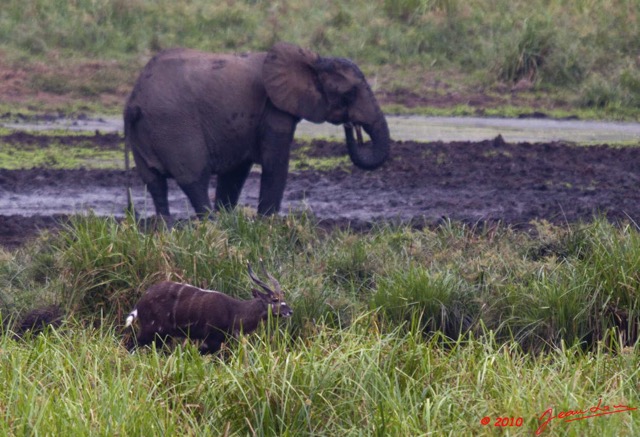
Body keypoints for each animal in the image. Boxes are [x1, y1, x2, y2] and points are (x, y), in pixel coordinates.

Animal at [122, 41, 388, 218]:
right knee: (195, 179)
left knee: (155, 184)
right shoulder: (274, 109)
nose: (351, 125)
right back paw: (211, 227)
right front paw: (267, 226)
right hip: (174, 127)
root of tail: (134, 100)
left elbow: (236, 173)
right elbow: (275, 163)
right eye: (349, 93)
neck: (313, 60)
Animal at [123, 260, 292, 352]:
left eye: (283, 296)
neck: (234, 312)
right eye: (274, 299)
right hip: (151, 330)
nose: (290, 311)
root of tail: (141, 301)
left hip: (162, 336)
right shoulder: (211, 341)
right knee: (131, 346)